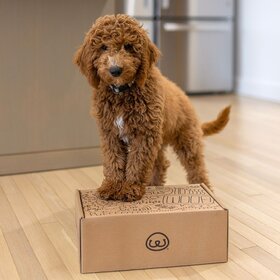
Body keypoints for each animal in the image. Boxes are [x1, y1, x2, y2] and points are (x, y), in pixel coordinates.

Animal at [74, 14, 230, 201]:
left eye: (128, 46)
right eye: (103, 47)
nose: (115, 70)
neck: (123, 92)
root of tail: (184, 95)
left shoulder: (144, 134)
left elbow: (137, 162)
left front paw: (130, 188)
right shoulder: (110, 133)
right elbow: (113, 161)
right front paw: (112, 186)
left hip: (186, 138)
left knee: (196, 166)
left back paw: (203, 187)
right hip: (159, 138)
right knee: (161, 163)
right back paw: (154, 184)